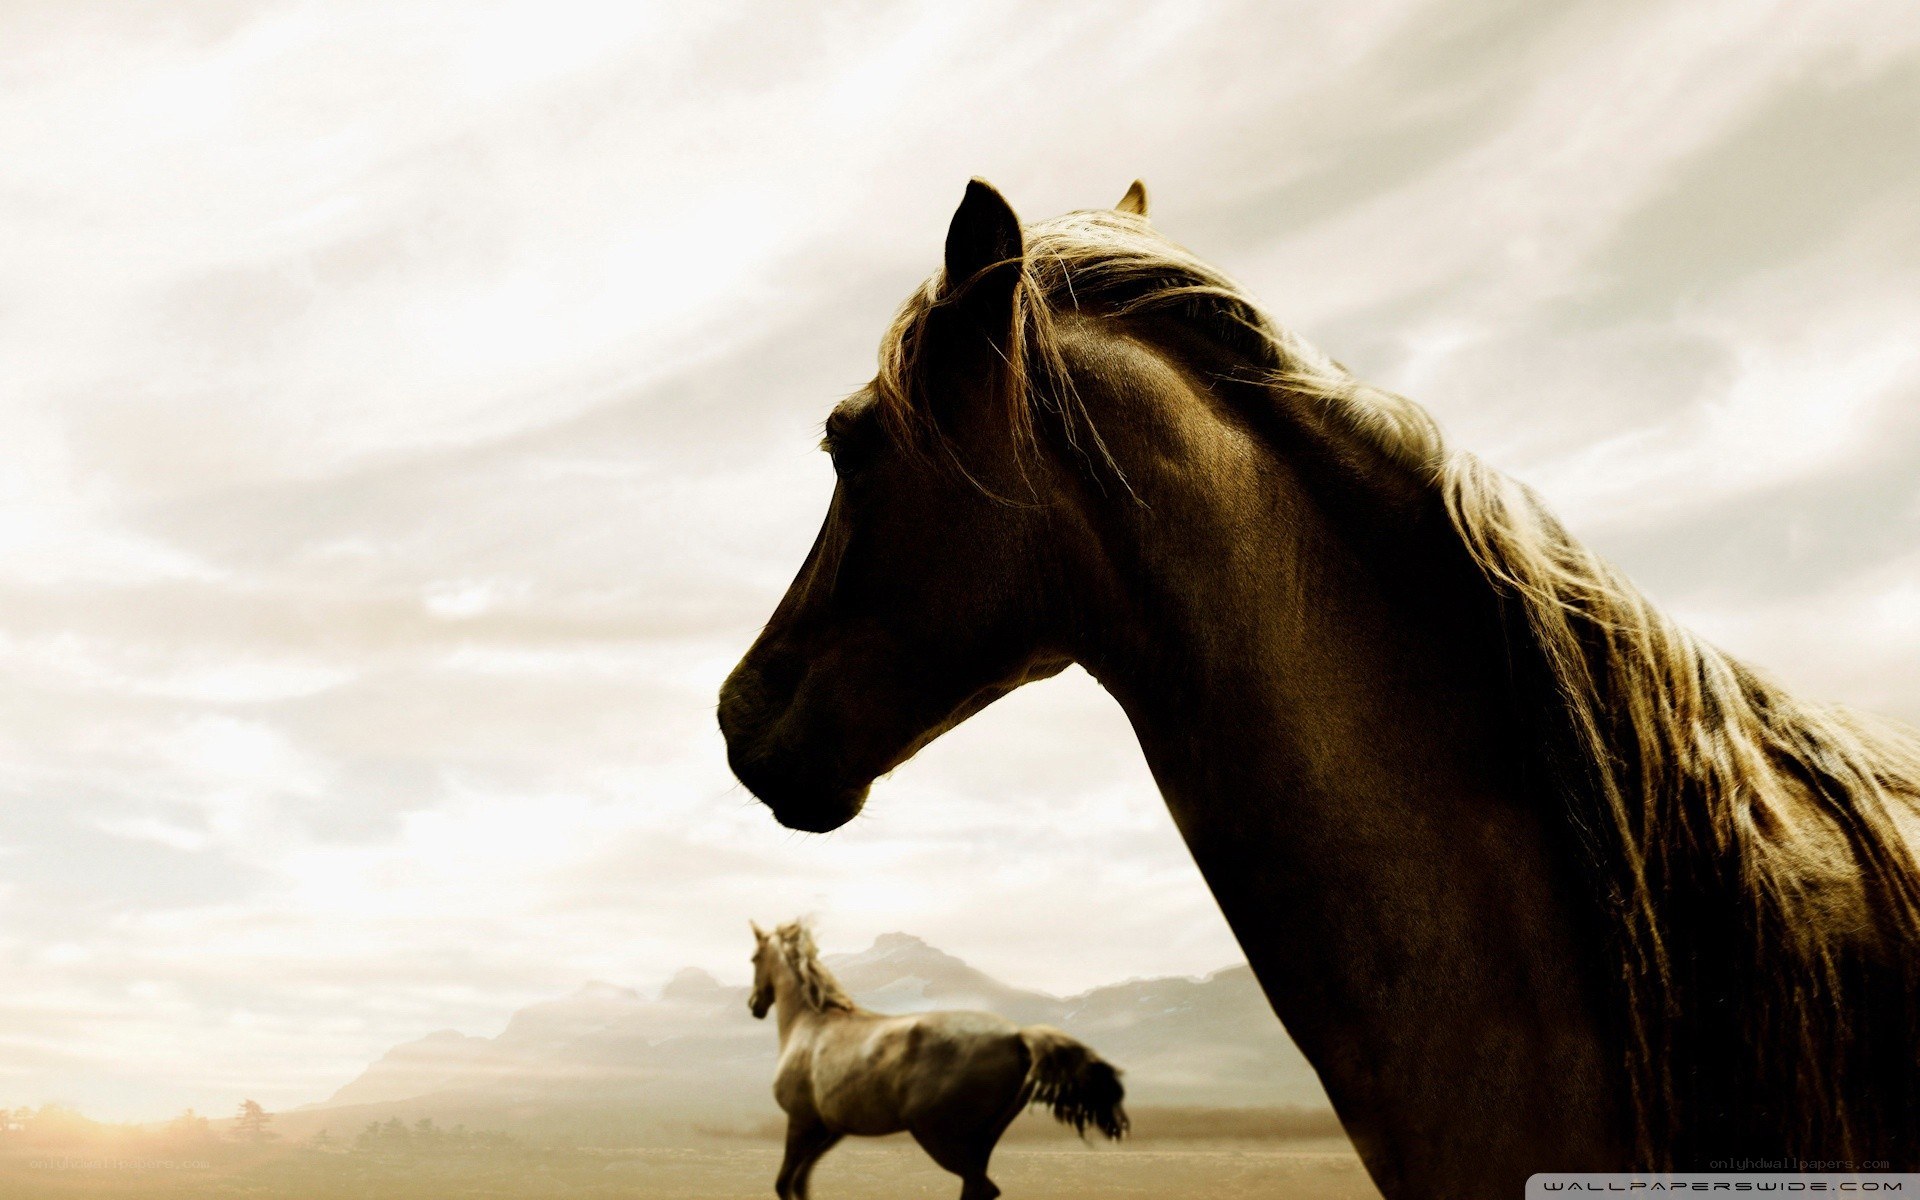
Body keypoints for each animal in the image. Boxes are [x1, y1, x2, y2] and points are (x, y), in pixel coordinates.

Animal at [745, 919, 1126, 1200]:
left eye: (754, 958)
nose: (754, 1005)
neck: (810, 1024)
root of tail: (1017, 1037)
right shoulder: (829, 1129)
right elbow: (800, 1184)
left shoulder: (801, 1122)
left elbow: (785, 1183)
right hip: (979, 1140)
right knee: (977, 1188)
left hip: (935, 1134)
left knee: (982, 1187)